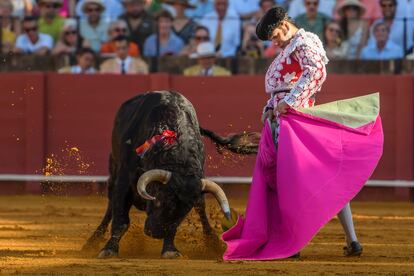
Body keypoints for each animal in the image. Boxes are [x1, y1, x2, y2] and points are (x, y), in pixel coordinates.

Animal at [81, 91, 258, 258]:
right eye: (159, 200)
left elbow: (176, 224)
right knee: (111, 206)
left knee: (201, 209)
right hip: (113, 172)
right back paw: (92, 241)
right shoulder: (124, 182)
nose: (155, 233)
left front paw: (170, 250)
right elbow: (121, 220)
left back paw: (212, 242)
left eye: (185, 211)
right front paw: (109, 250)